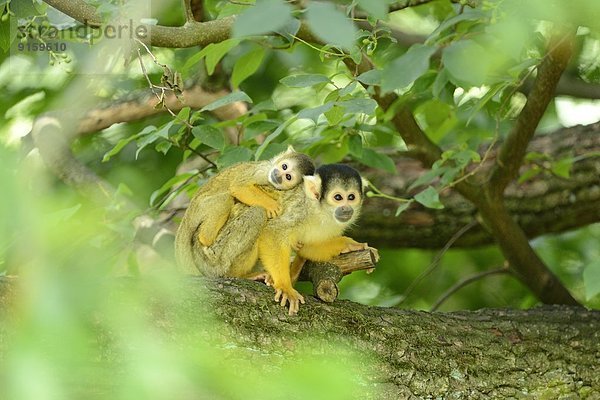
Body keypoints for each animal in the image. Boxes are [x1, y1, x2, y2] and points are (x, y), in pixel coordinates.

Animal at [173, 145, 314, 268]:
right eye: (284, 166)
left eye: (288, 177)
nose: (277, 175)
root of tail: (187, 215)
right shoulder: (263, 171)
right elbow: (238, 187)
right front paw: (272, 206)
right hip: (201, 206)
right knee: (226, 199)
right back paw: (206, 239)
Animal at [256, 164, 368, 314]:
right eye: (338, 197)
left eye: (351, 197)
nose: (346, 209)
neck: (319, 211)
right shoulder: (299, 209)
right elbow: (273, 233)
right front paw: (285, 287)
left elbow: (307, 248)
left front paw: (348, 244)